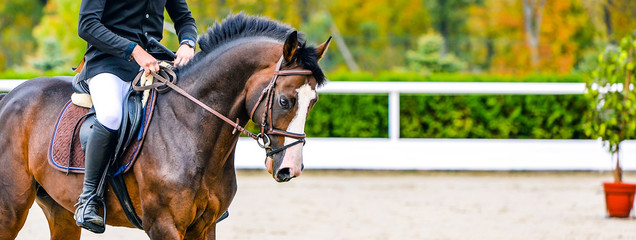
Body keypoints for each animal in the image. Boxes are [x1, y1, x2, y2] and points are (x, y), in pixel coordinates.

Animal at [0, 14, 330, 239]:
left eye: (313, 101)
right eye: (285, 101)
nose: (290, 168)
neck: (190, 127)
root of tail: (10, 97)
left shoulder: (205, 226)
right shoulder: (164, 226)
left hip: (61, 211)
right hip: (10, 208)